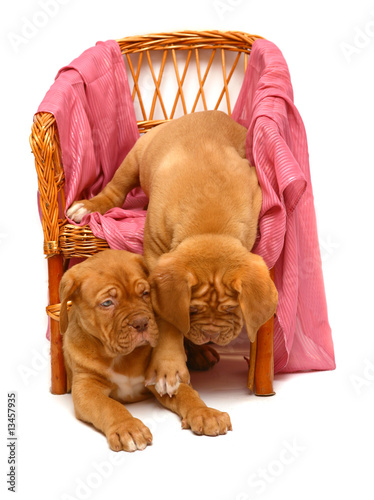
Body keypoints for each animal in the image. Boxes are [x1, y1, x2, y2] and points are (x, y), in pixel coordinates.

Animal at [60, 250, 231, 454]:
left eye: (145, 293)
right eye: (107, 303)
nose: (141, 323)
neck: (121, 357)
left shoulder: (163, 378)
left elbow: (188, 394)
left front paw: (204, 413)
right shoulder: (86, 388)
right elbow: (109, 406)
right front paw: (127, 427)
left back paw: (200, 353)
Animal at [66, 110, 278, 398]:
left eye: (232, 307)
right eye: (193, 309)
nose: (211, 335)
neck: (208, 229)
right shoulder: (157, 258)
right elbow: (170, 320)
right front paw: (168, 368)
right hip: (136, 157)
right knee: (116, 188)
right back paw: (89, 206)